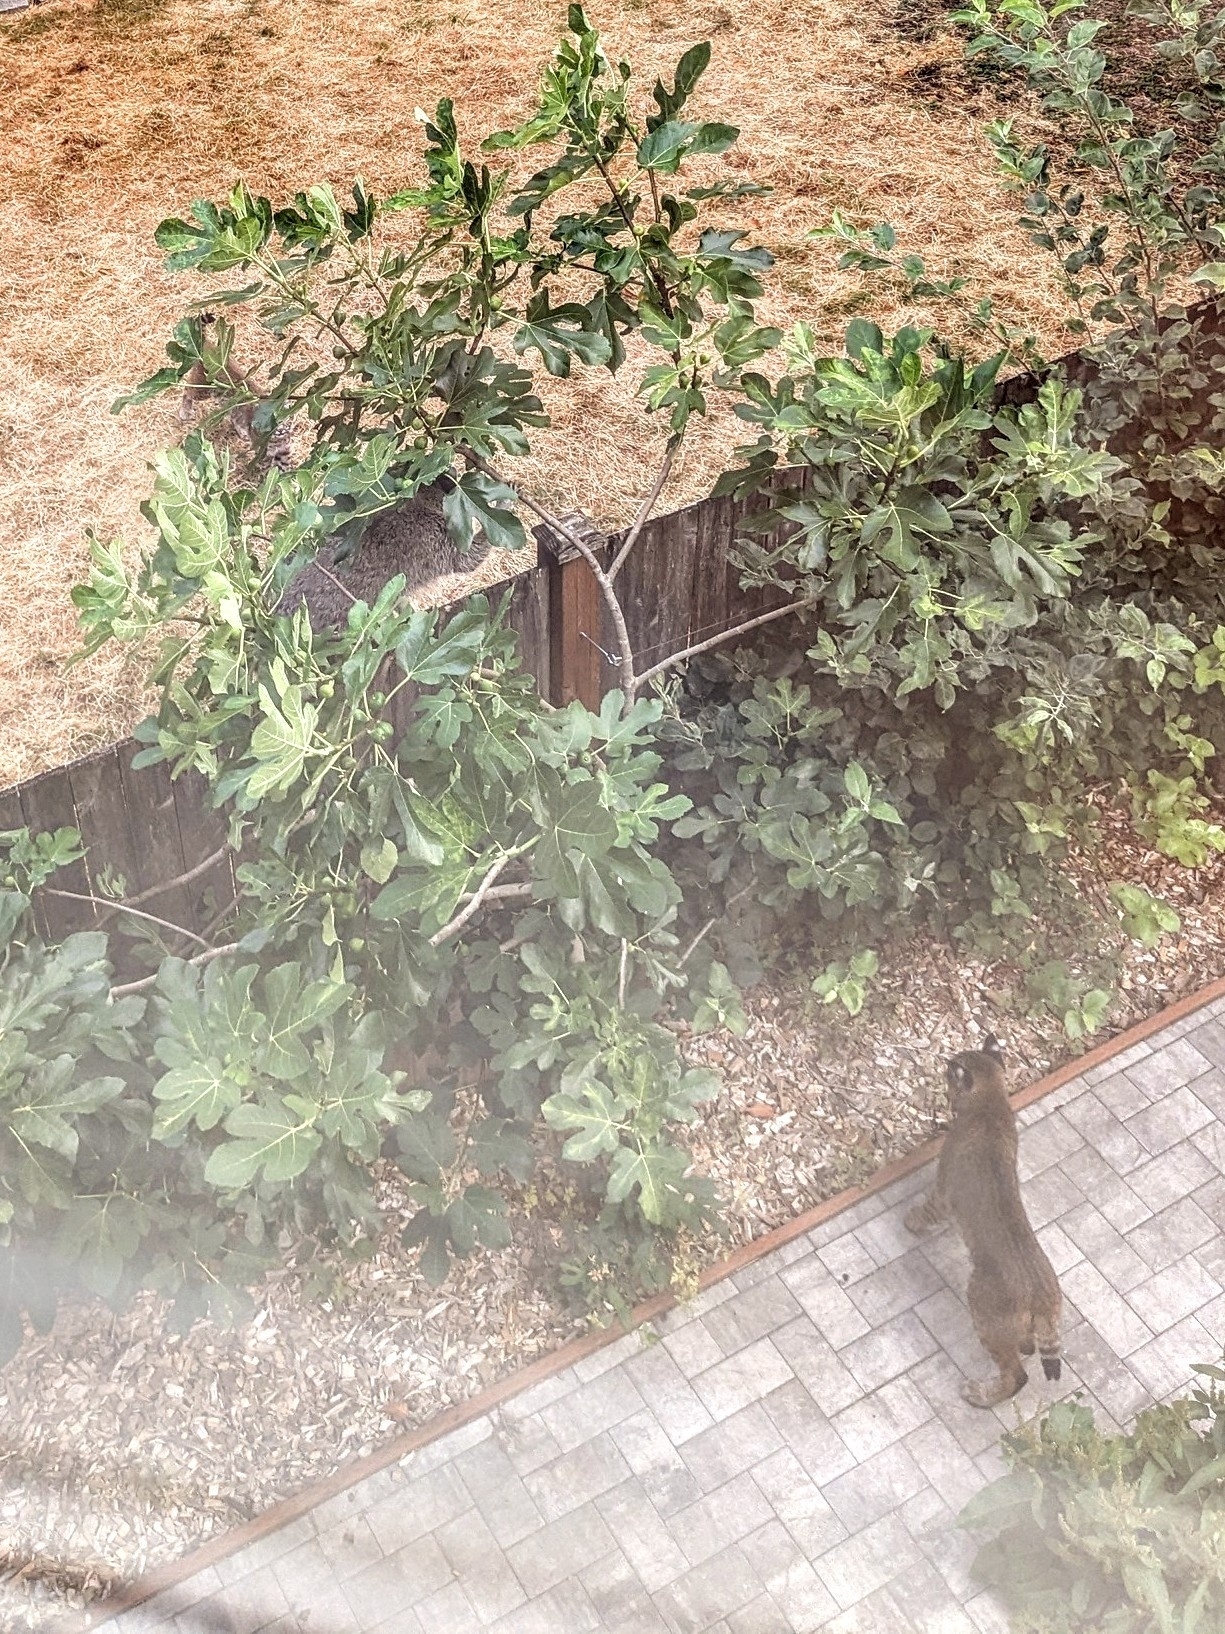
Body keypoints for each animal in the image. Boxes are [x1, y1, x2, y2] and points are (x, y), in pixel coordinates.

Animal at [901, 1039, 1064, 1411]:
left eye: (951, 1074)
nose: (944, 1070)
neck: (990, 1102)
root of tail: (1043, 1298)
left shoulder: (944, 1191)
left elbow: (927, 1211)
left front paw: (910, 1221)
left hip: (982, 1309)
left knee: (1017, 1375)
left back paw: (980, 1395)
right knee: (1026, 1349)